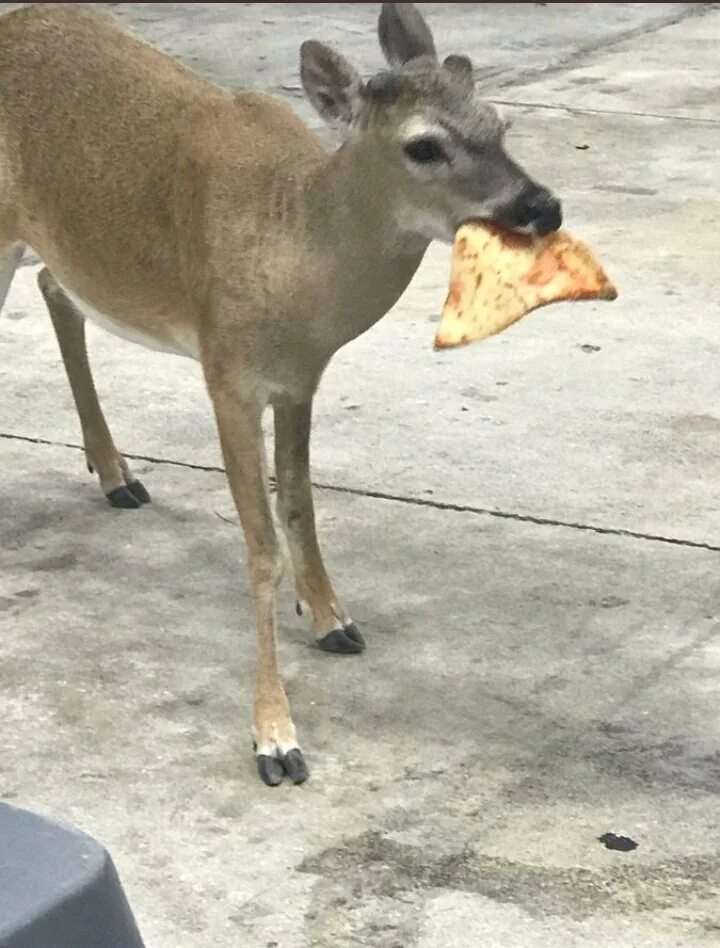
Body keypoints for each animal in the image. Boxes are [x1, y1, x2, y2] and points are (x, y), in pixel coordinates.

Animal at [0, 1, 564, 784]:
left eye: (498, 124)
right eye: (424, 146)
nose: (543, 206)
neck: (296, 251)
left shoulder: (300, 381)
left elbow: (300, 502)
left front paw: (332, 619)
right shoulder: (227, 376)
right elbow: (260, 545)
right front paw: (275, 737)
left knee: (58, 286)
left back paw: (117, 474)